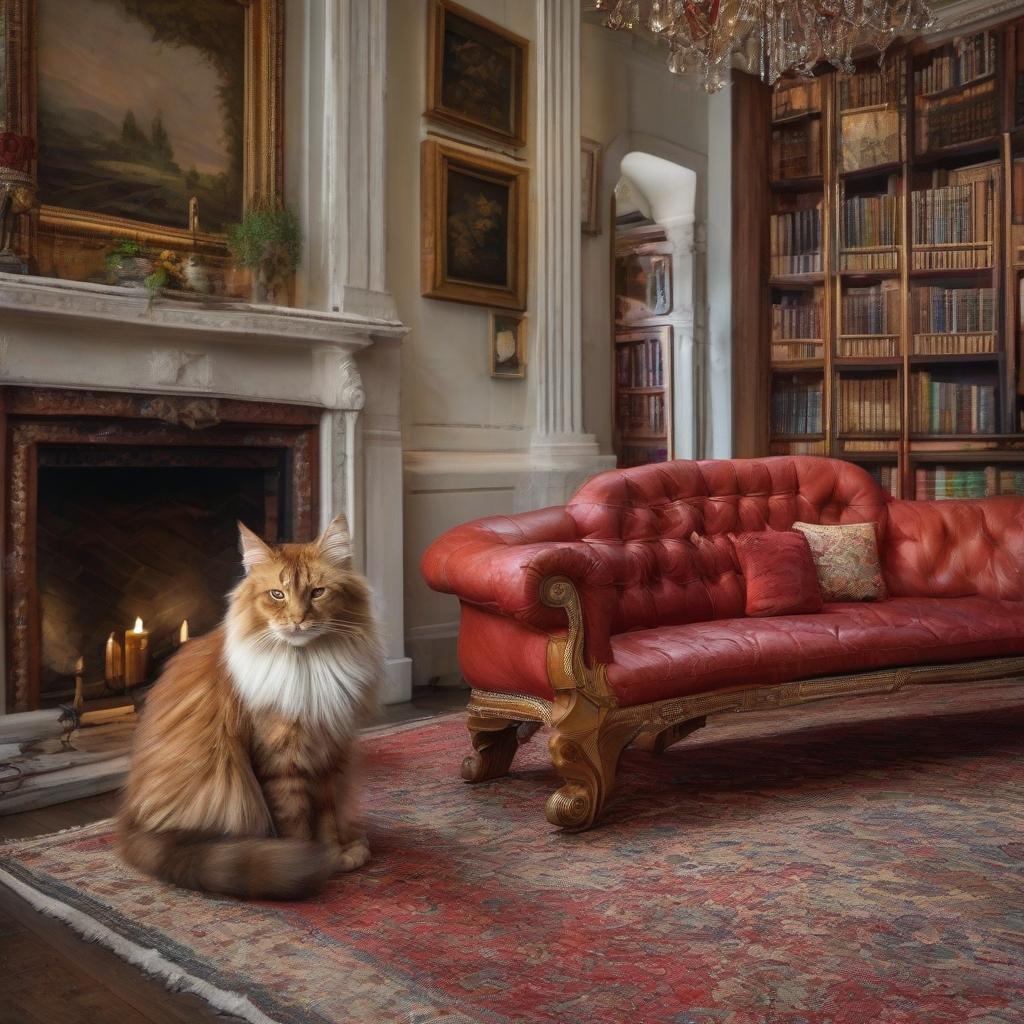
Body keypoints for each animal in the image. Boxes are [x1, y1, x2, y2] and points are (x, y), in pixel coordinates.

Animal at [116, 516, 380, 901]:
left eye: (317, 593)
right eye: (277, 595)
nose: (298, 619)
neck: (307, 665)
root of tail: (130, 825)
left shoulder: (328, 755)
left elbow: (327, 819)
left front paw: (338, 853)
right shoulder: (283, 762)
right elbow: (296, 823)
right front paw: (312, 861)